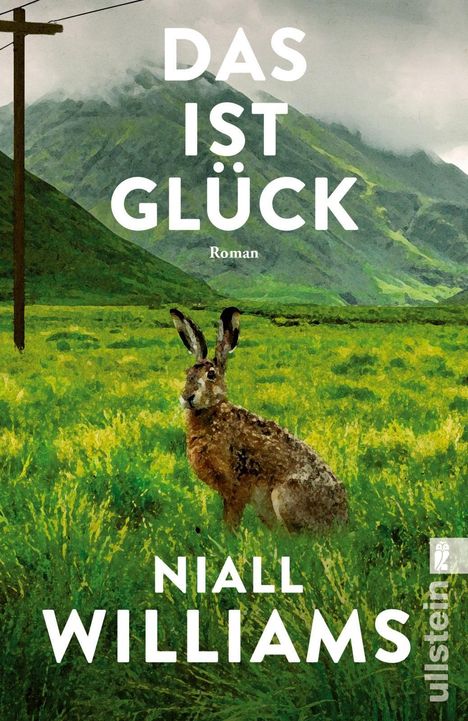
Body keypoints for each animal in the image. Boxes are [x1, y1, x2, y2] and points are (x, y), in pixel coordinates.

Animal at [171, 307, 348, 531]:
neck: (212, 412)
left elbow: (231, 518)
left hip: (284, 497)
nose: (187, 397)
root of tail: (342, 518)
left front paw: (228, 536)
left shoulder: (236, 485)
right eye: (187, 373)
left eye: (211, 375)